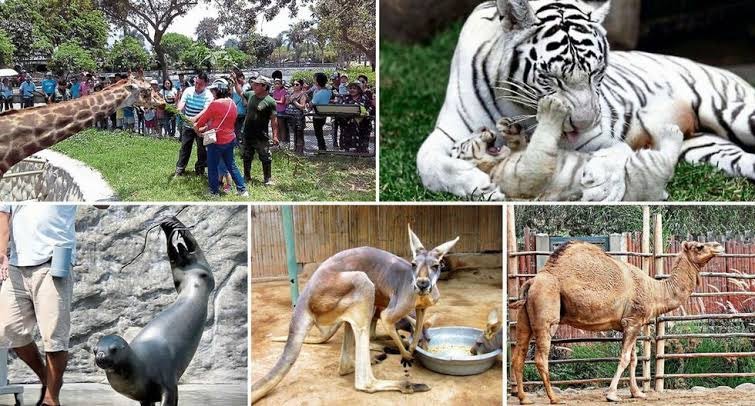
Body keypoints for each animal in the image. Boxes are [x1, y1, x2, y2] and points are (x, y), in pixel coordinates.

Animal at [452, 92, 688, 200]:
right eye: (464, 144)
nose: (483, 127)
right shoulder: (523, 177)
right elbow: (539, 146)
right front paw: (550, 107)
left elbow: (525, 143)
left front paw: (509, 127)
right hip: (642, 167)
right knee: (664, 158)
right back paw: (671, 131)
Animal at [510, 241, 724, 402]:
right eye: (699, 246)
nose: (719, 246)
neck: (654, 290)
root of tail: (532, 281)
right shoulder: (633, 321)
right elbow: (624, 358)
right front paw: (612, 395)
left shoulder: (630, 324)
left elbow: (633, 358)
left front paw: (637, 393)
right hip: (547, 312)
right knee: (540, 357)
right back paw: (554, 398)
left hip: (525, 318)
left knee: (518, 355)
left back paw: (524, 398)